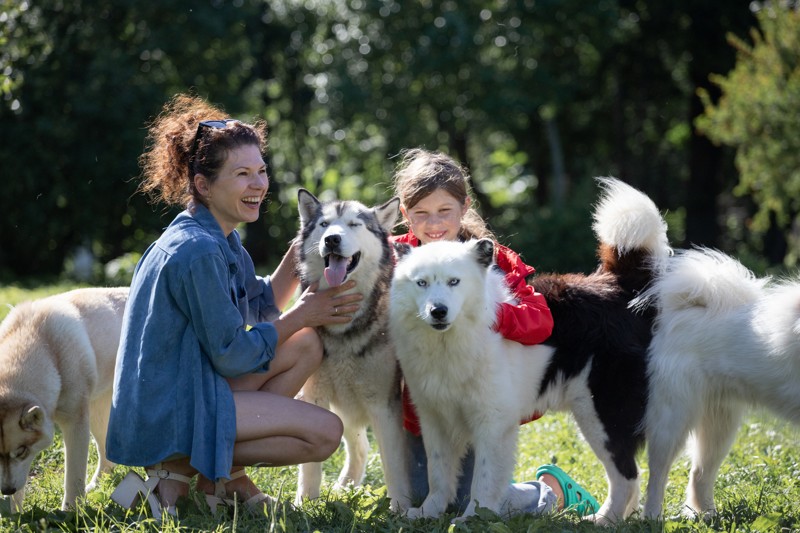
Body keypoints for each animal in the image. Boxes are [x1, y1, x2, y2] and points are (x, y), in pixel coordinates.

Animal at [0, 286, 126, 512]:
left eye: (21, 451)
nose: (6, 489)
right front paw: (14, 515)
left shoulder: (75, 423)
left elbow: (73, 477)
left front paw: (71, 511)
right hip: (97, 412)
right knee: (106, 455)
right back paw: (95, 486)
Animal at [292, 190, 412, 512]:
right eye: (324, 224)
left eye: (354, 224)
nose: (332, 239)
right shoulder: (315, 398)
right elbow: (310, 467)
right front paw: (305, 505)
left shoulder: (384, 405)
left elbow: (394, 466)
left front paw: (402, 510)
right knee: (360, 447)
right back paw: (343, 489)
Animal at [640, 249, 800, 520]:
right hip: (674, 420)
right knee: (657, 474)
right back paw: (652, 517)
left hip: (719, 425)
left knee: (699, 474)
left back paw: (708, 516)